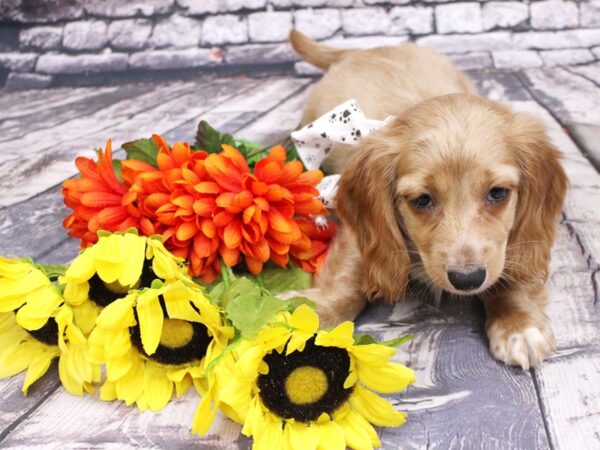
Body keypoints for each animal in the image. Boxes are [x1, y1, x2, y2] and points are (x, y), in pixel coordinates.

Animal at [290, 30, 568, 370]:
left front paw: (519, 325)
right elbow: (347, 278)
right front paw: (310, 313)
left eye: (497, 193)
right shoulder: (362, 232)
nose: (467, 280)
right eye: (422, 200)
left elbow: (511, 267)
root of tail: (369, 48)